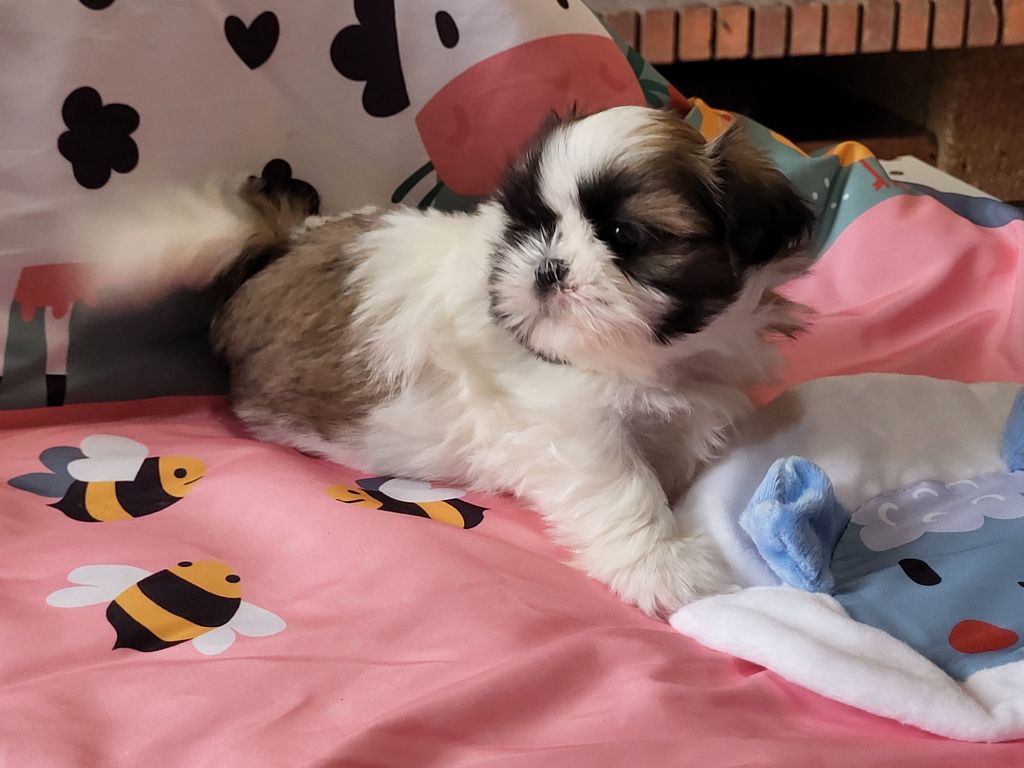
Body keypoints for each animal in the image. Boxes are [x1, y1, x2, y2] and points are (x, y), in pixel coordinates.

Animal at [85, 106, 814, 615]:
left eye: (623, 235)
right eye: (531, 226)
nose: (547, 267)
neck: (650, 358)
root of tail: (285, 242)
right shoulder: (566, 421)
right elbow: (621, 485)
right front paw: (664, 565)